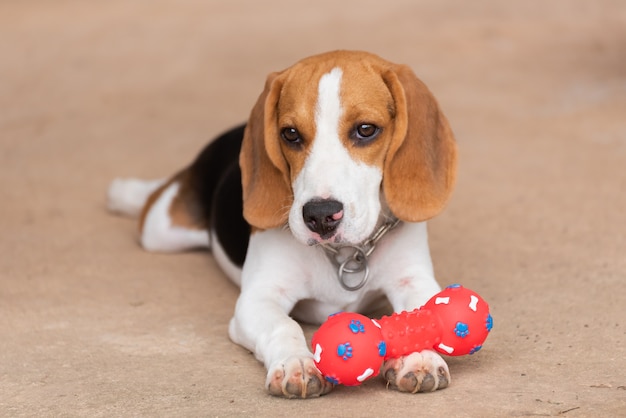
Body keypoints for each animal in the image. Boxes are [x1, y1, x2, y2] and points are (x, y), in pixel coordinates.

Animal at [107, 50, 456, 396]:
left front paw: (418, 357)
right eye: (290, 134)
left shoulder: (414, 280)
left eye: (366, 129)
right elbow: (284, 326)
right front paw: (297, 364)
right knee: (155, 198)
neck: (344, 253)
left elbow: (421, 316)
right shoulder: (257, 298)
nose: (320, 215)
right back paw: (125, 193)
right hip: (161, 230)